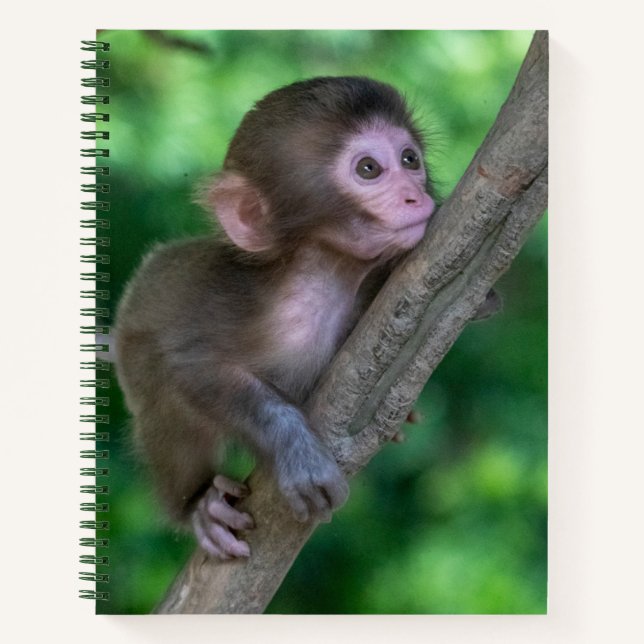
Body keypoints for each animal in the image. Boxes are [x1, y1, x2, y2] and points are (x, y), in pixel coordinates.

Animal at [114, 76, 437, 560]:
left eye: (409, 159)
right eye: (368, 169)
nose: (417, 195)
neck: (324, 280)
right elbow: (189, 367)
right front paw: (295, 451)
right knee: (162, 392)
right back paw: (198, 505)